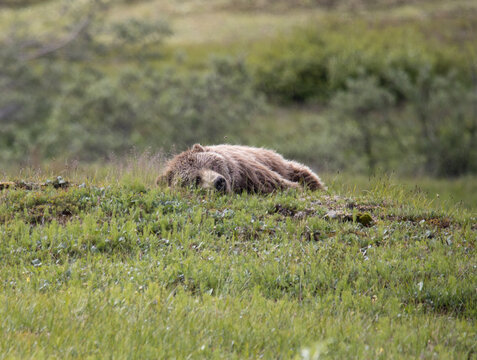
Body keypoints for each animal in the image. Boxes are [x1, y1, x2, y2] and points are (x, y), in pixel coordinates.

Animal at [158, 144, 326, 194]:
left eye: (210, 165)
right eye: (196, 179)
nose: (219, 182)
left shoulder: (249, 170)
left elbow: (275, 181)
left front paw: (298, 188)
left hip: (276, 161)